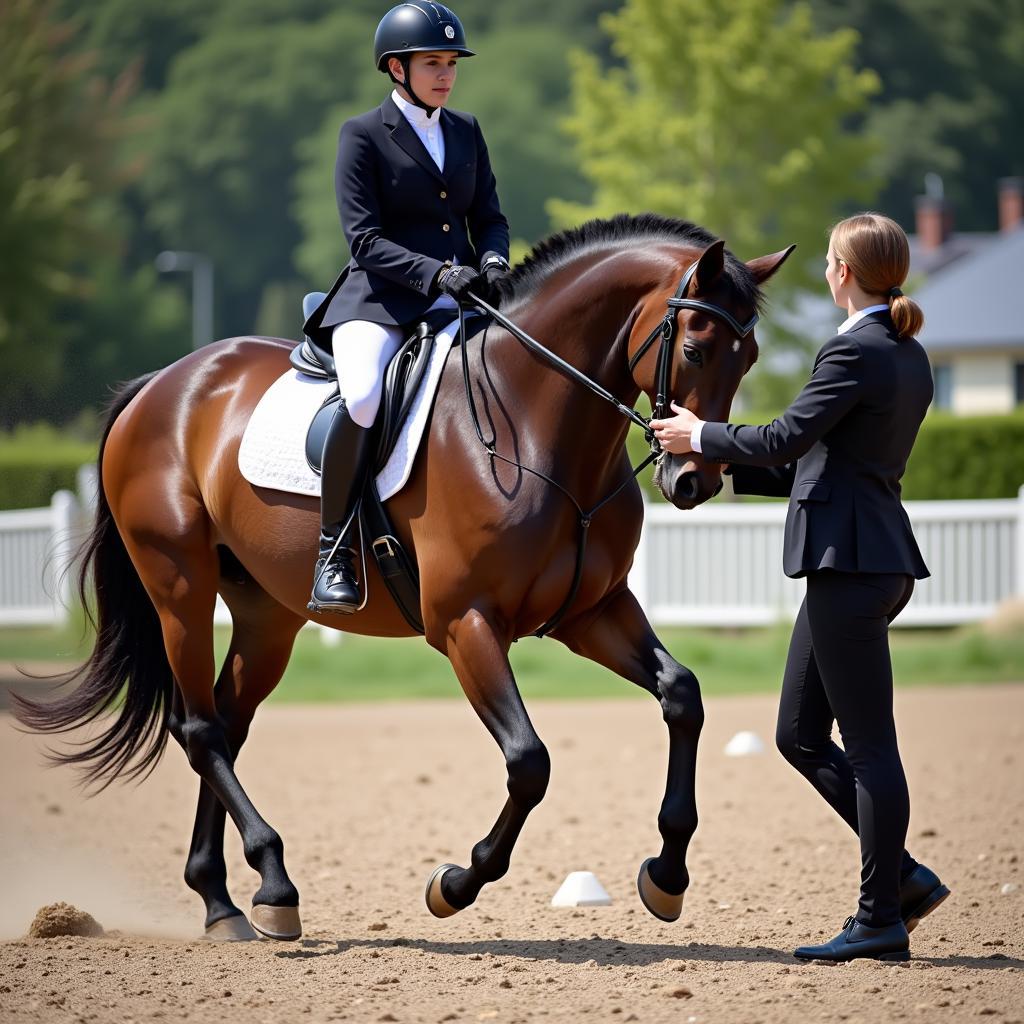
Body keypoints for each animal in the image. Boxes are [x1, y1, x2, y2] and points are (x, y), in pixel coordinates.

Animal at [16, 211, 790, 937]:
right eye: (694, 348)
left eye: (749, 357)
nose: (693, 480)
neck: (535, 425)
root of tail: (164, 382)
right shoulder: (465, 625)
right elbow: (529, 761)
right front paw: (456, 883)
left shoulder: (591, 612)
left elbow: (682, 696)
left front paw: (666, 874)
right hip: (179, 586)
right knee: (200, 728)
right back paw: (273, 882)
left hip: (267, 614)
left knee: (227, 722)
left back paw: (226, 901)